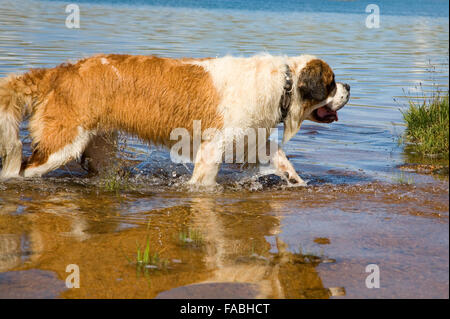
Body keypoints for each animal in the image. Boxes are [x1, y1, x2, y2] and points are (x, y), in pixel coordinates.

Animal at [0, 54, 350, 186]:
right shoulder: (213, 146)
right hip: (62, 145)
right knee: (24, 169)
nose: (349, 87)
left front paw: (297, 182)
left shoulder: (251, 138)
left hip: (99, 145)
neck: (284, 84)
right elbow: (204, 182)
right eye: (331, 83)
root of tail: (60, 71)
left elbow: (280, 159)